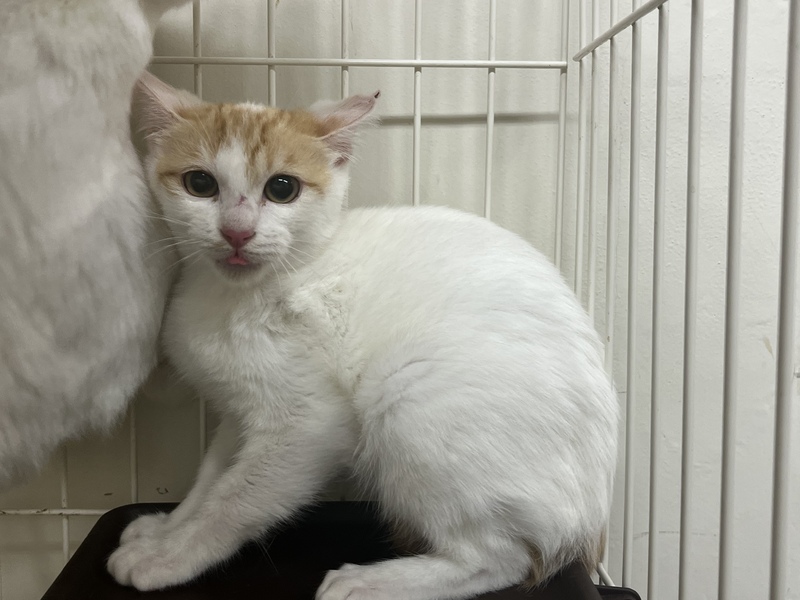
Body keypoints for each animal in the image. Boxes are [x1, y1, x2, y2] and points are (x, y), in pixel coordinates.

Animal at [108, 71, 619, 600]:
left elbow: (235, 500)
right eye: (200, 183)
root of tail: (590, 522)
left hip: (408, 403)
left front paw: (171, 556)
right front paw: (168, 528)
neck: (233, 296)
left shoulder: (308, 423)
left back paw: (374, 582)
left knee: (501, 559)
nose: (237, 232)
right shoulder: (239, 410)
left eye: (283, 188)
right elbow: (210, 479)